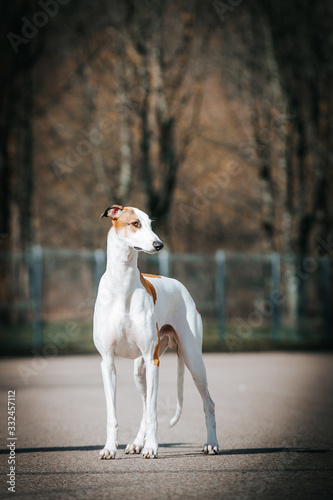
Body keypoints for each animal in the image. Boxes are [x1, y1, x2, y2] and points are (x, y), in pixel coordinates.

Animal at [93, 205, 218, 458]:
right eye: (135, 223)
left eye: (151, 224)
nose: (159, 244)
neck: (122, 284)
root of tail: (180, 285)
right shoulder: (107, 362)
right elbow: (113, 413)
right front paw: (109, 448)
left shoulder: (153, 361)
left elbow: (152, 412)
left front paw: (151, 447)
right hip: (139, 371)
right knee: (144, 405)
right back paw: (136, 443)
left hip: (192, 360)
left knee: (208, 403)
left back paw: (211, 444)